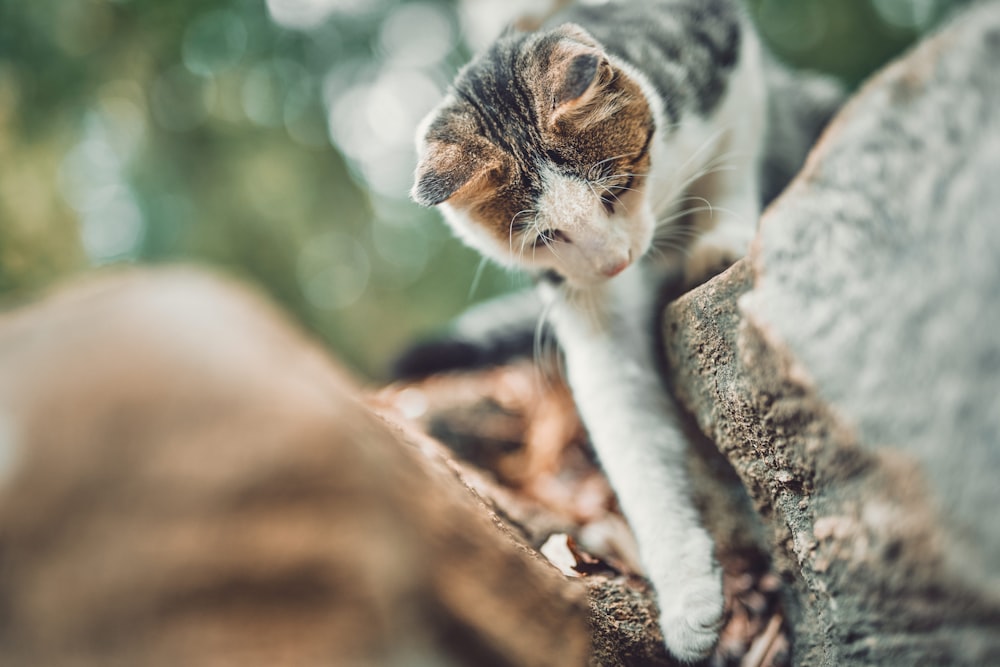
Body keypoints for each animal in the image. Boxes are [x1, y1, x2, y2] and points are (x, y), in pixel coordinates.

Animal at [402, 0, 840, 656]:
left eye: (617, 189)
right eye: (545, 237)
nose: (614, 263)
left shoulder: (728, 60)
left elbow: (733, 161)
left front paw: (722, 236)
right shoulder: (586, 310)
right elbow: (629, 439)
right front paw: (687, 598)